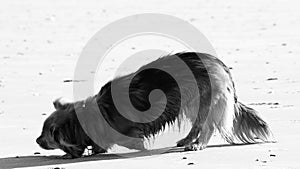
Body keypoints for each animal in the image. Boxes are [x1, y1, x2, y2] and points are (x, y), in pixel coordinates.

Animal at [36, 52, 270, 158]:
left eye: (46, 134)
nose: (36, 140)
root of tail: (219, 63)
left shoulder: (128, 134)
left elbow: (129, 141)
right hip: (192, 103)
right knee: (198, 124)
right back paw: (187, 139)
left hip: (205, 100)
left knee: (208, 126)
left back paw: (198, 144)